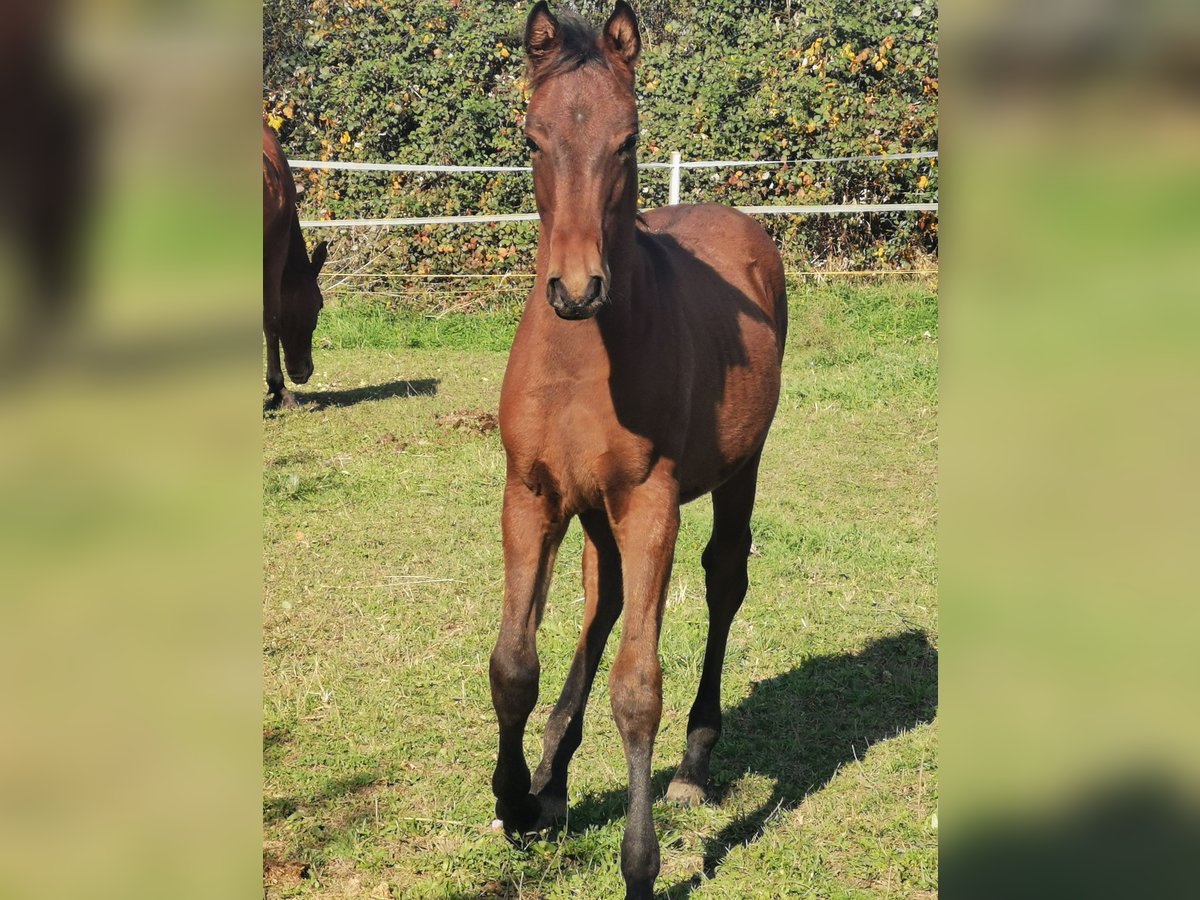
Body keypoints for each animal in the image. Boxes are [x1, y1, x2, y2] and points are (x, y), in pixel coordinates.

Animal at [487, 3, 787, 897]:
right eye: (533, 134)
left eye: (628, 138)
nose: (576, 288)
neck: (583, 360)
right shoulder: (532, 492)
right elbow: (513, 662)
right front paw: (514, 799)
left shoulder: (650, 503)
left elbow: (637, 690)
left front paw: (640, 863)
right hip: (592, 509)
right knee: (604, 599)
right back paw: (551, 779)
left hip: (738, 470)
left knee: (723, 581)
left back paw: (690, 765)